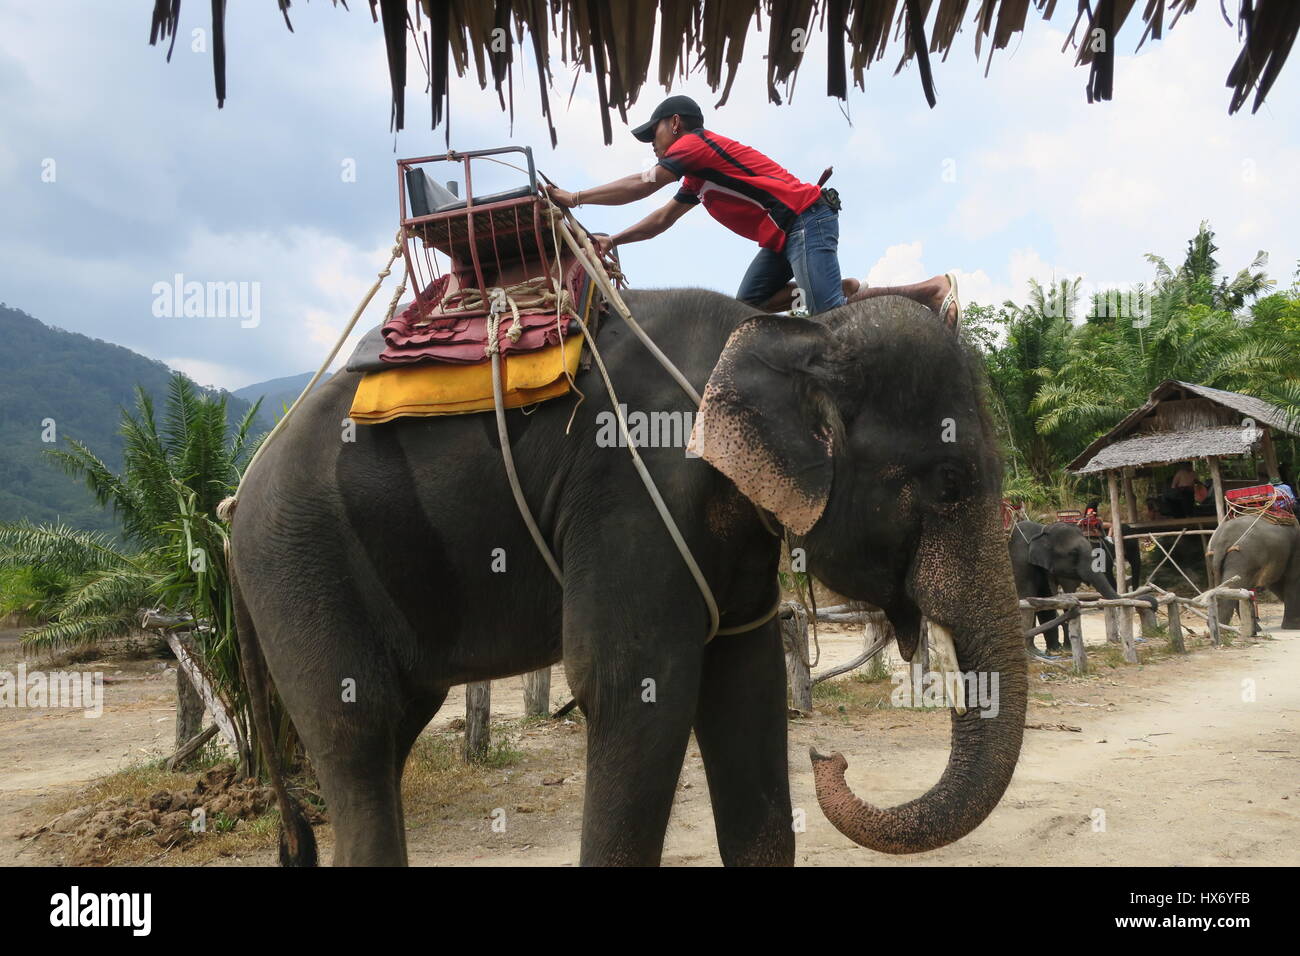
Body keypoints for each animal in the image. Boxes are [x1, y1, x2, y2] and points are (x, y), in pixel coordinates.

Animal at [231, 290, 1024, 868]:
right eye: (950, 484)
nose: (829, 754)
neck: (785, 333)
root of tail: (236, 497)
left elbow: (745, 683)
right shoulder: (633, 492)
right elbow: (633, 685)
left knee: (395, 725)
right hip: (297, 560)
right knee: (357, 724)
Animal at [1008, 520, 1144, 655]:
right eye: (1073, 553)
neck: (1041, 531)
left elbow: (1044, 601)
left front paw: (1054, 650)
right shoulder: (1020, 561)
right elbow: (1026, 598)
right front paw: (1032, 652)